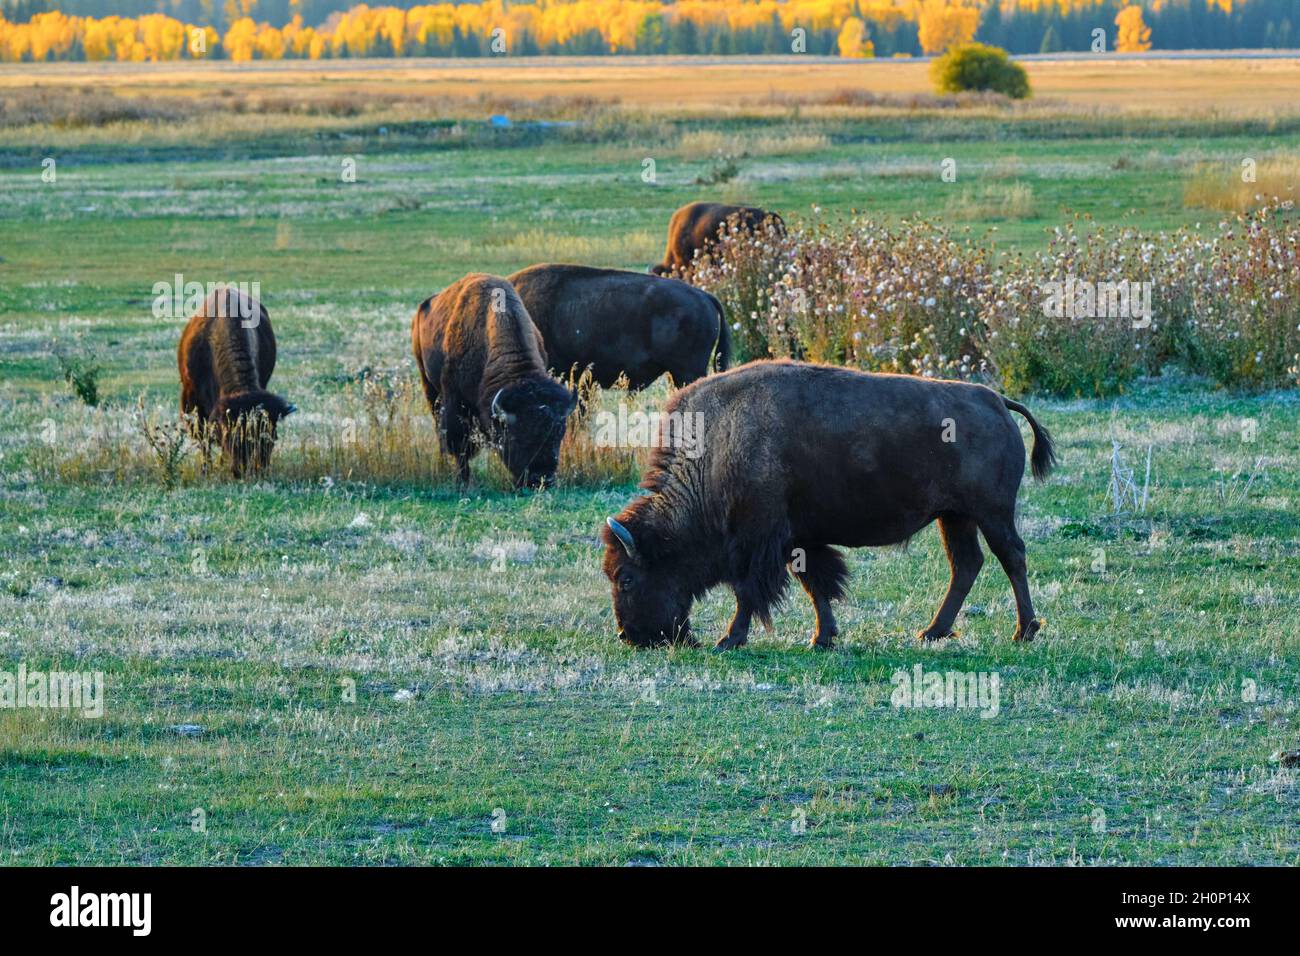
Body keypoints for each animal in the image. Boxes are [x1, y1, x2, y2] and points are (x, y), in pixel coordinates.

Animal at [178, 286, 293, 476]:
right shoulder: (192, 399)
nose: (245, 470)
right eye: (231, 436)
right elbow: (203, 439)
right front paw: (205, 471)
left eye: (272, 436)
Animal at [412, 273, 576, 488]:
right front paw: (463, 481)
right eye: (517, 437)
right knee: (439, 426)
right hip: (428, 385)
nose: (541, 479)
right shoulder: (454, 399)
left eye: (558, 435)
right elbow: (460, 444)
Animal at [602, 360, 1056, 650]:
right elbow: (817, 585)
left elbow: (750, 592)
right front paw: (823, 638)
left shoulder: (759, 542)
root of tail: (997, 401)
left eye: (626, 578)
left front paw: (729, 639)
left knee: (1011, 557)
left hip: (991, 513)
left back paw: (1024, 630)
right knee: (966, 564)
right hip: (956, 517)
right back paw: (932, 632)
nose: (629, 637)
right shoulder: (800, 541)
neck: (717, 448)